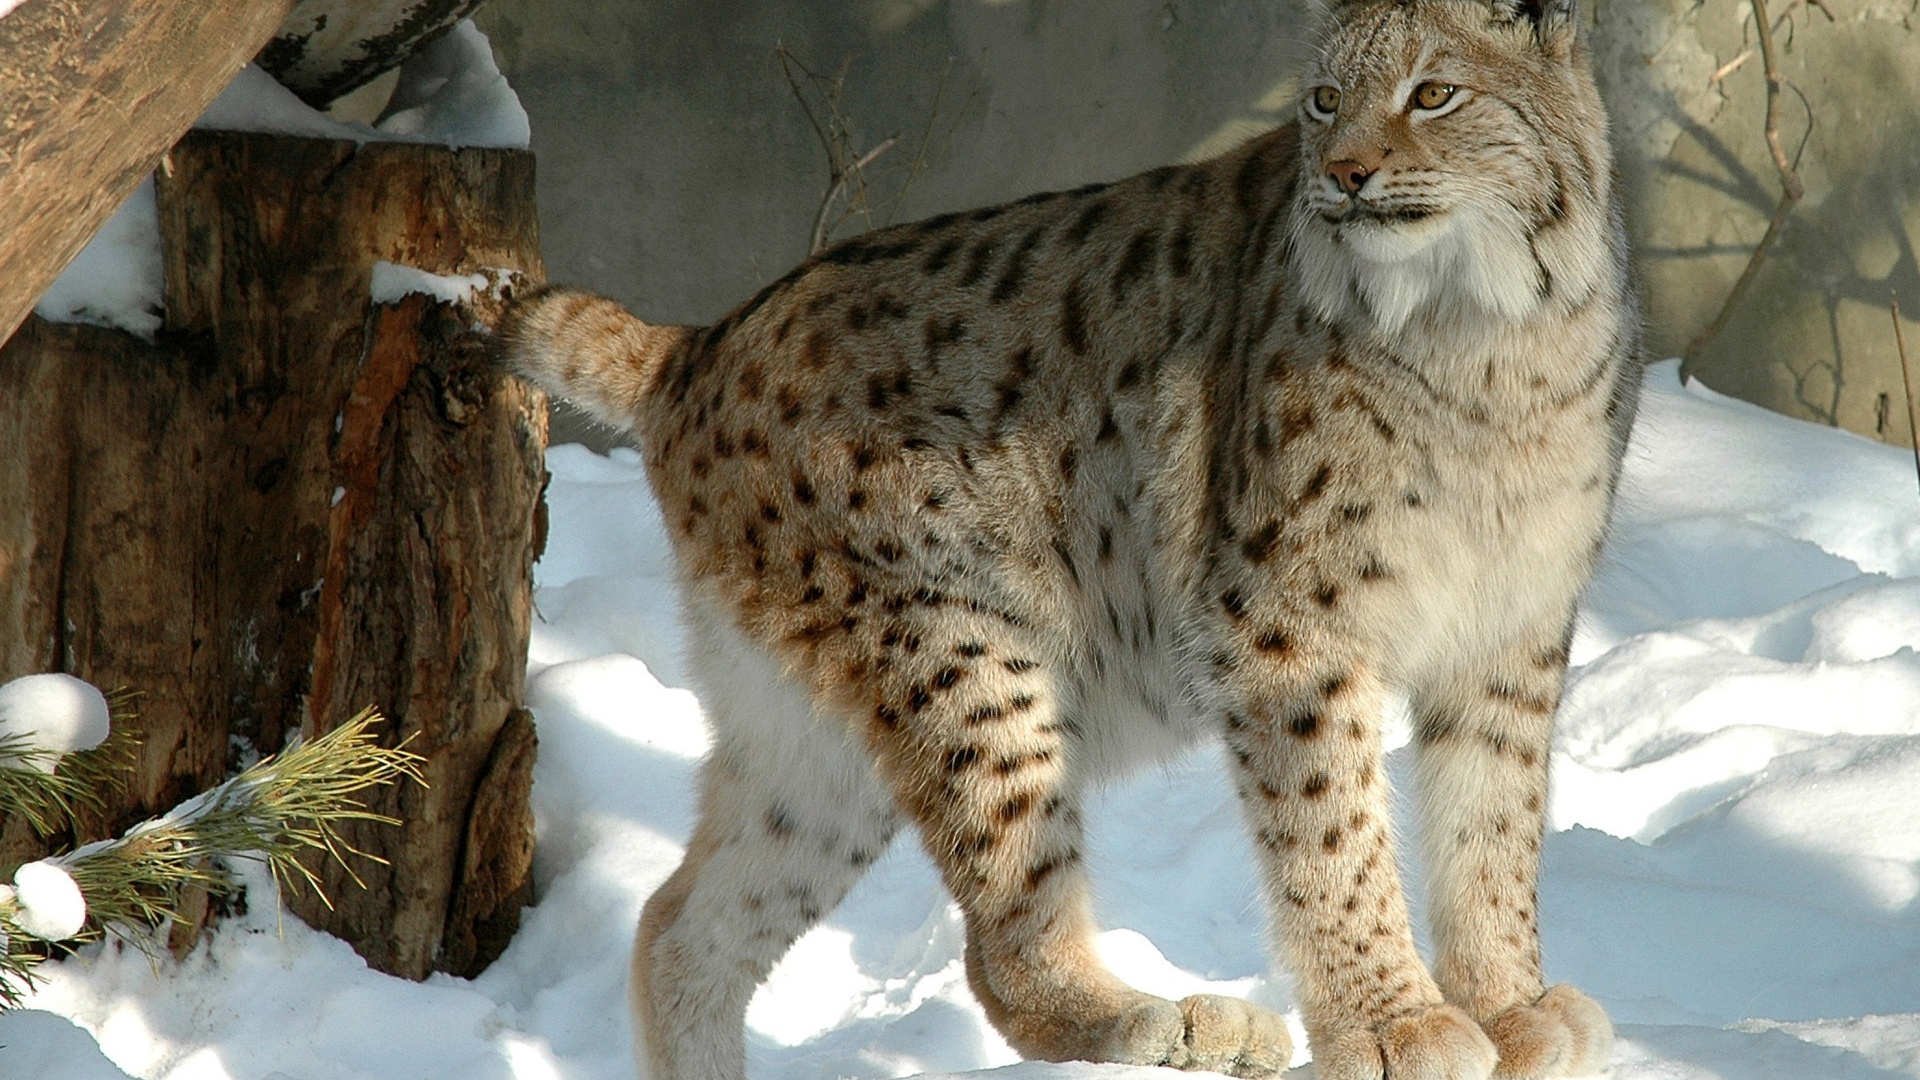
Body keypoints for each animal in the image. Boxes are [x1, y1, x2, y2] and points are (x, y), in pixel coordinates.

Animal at [498, 1, 1641, 1077]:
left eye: (1434, 94)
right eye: (1323, 102)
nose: (1343, 176)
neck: (1484, 330)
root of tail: (698, 341)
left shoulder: (1512, 620)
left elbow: (1495, 820)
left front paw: (1507, 1008)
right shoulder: (1285, 626)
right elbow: (1334, 830)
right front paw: (1394, 1026)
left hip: (820, 739)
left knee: (677, 928)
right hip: (967, 654)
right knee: (1000, 963)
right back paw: (1170, 1025)